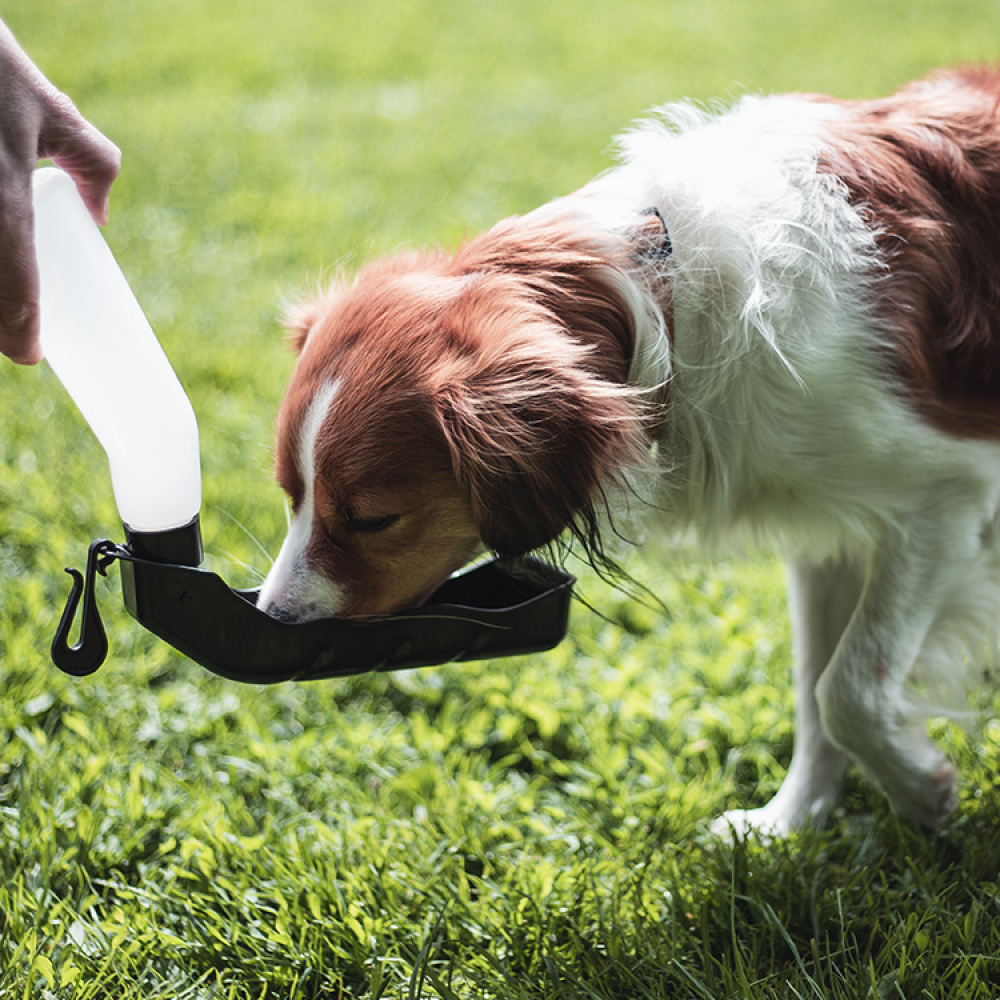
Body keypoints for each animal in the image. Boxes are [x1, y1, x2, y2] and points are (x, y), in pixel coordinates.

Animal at [252, 66, 1000, 840]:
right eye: (292, 496)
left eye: (373, 520)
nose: (273, 620)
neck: (666, 301)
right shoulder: (831, 525)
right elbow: (815, 683)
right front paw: (792, 820)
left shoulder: (947, 499)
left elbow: (847, 687)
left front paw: (922, 790)